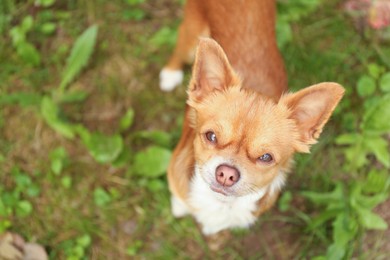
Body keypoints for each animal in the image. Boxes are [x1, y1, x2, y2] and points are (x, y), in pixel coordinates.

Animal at [161, 0, 344, 249]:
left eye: (266, 157)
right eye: (211, 136)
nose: (226, 173)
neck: (219, 203)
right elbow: (179, 201)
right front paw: (179, 207)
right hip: (192, 32)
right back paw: (170, 74)